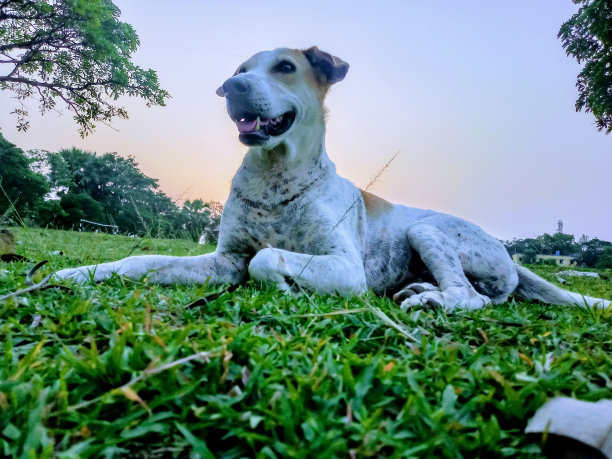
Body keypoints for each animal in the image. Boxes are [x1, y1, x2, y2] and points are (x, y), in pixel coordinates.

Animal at [55, 46, 608, 310]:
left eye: (284, 67)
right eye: (241, 67)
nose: (231, 86)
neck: (274, 177)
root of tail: (510, 255)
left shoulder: (344, 267)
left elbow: (266, 258)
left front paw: (287, 286)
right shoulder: (223, 260)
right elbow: (142, 260)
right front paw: (76, 274)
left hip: (427, 229)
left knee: (471, 298)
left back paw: (429, 298)